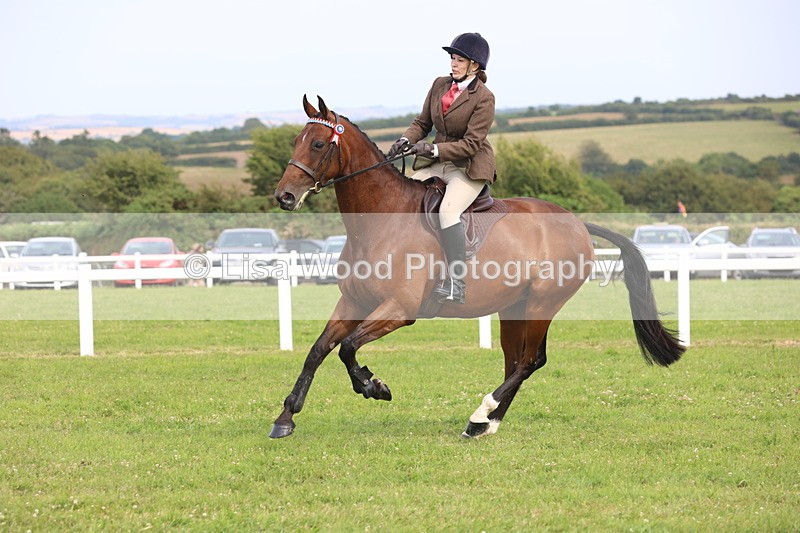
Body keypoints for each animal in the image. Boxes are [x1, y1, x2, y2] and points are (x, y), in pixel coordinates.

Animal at [270, 96, 684, 439]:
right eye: (295, 142)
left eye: (318, 144)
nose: (284, 196)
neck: (377, 224)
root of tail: (577, 223)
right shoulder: (353, 302)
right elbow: (319, 349)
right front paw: (286, 418)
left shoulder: (399, 309)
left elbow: (348, 348)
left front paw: (375, 386)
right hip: (514, 307)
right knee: (516, 361)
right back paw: (487, 423)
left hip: (542, 304)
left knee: (530, 361)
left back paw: (479, 416)